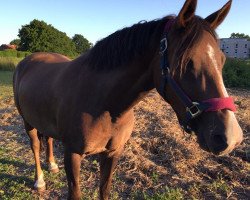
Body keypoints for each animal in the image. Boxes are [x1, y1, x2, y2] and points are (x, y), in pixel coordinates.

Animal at [13, 0, 242, 199]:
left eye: (222, 60)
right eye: (187, 62)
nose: (231, 137)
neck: (105, 105)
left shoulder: (113, 153)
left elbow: (104, 190)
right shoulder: (72, 155)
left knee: (49, 139)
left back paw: (51, 165)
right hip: (28, 123)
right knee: (35, 146)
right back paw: (39, 180)